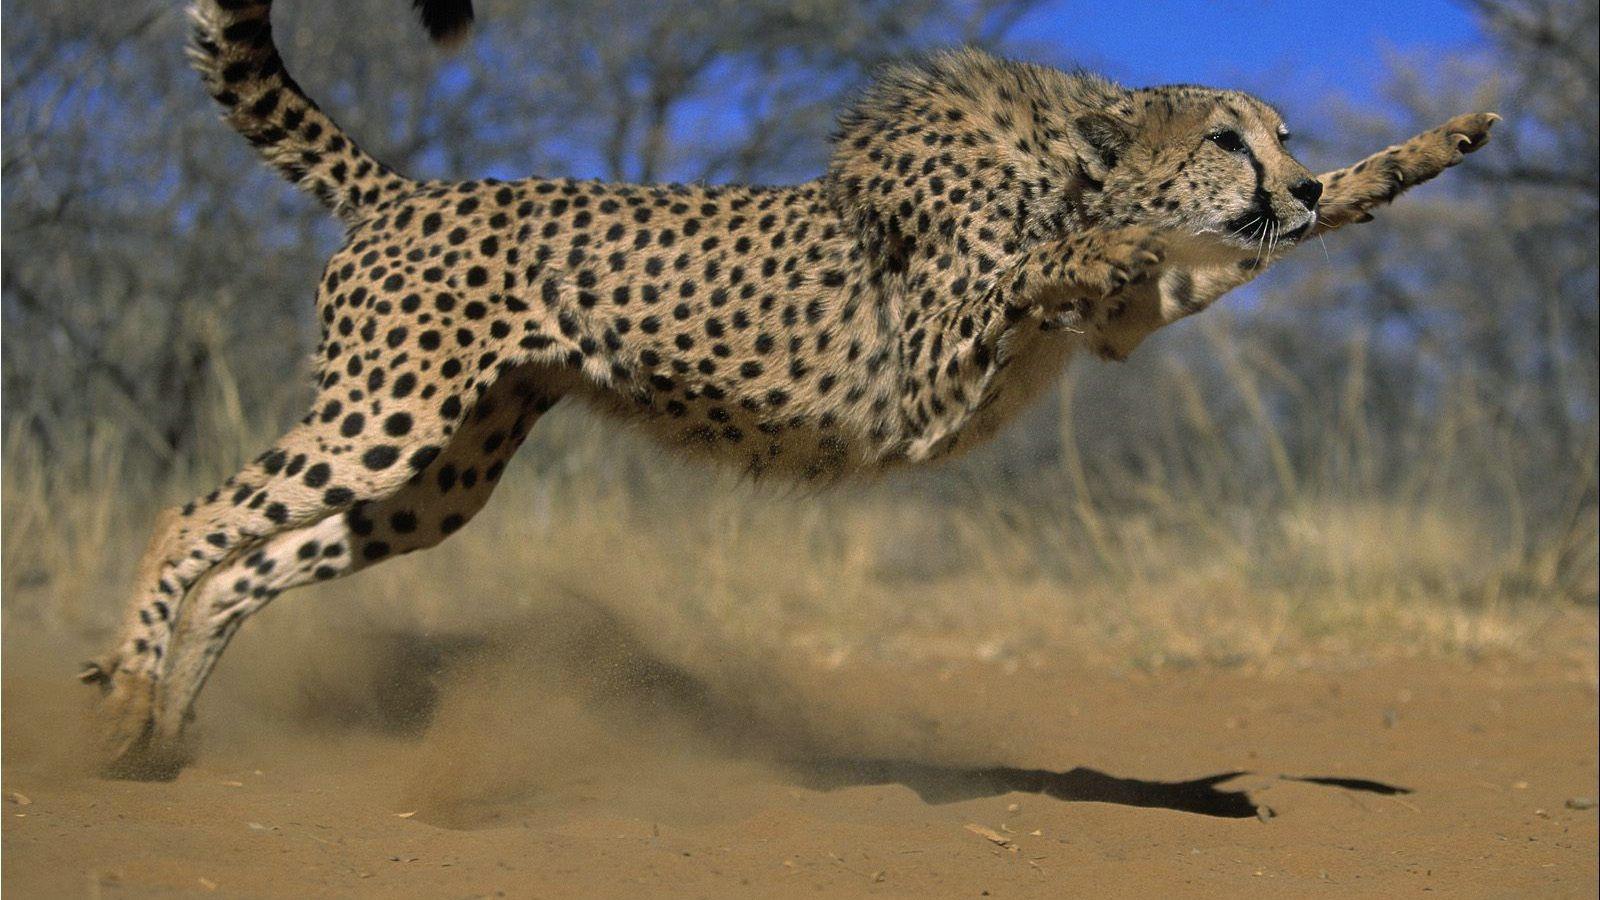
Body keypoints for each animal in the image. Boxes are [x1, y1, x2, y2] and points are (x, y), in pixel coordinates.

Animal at [79, 0, 1499, 778]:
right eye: (1224, 137)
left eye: (1283, 137)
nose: (1289, 180)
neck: (1068, 171)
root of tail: (408, 187)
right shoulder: (932, 358)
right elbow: (1067, 261)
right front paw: (1125, 236)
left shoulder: (1131, 322)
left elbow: (1251, 243)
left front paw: (1430, 148)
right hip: (387, 418)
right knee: (192, 518)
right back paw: (127, 701)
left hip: (442, 475)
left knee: (253, 564)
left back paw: (170, 733)